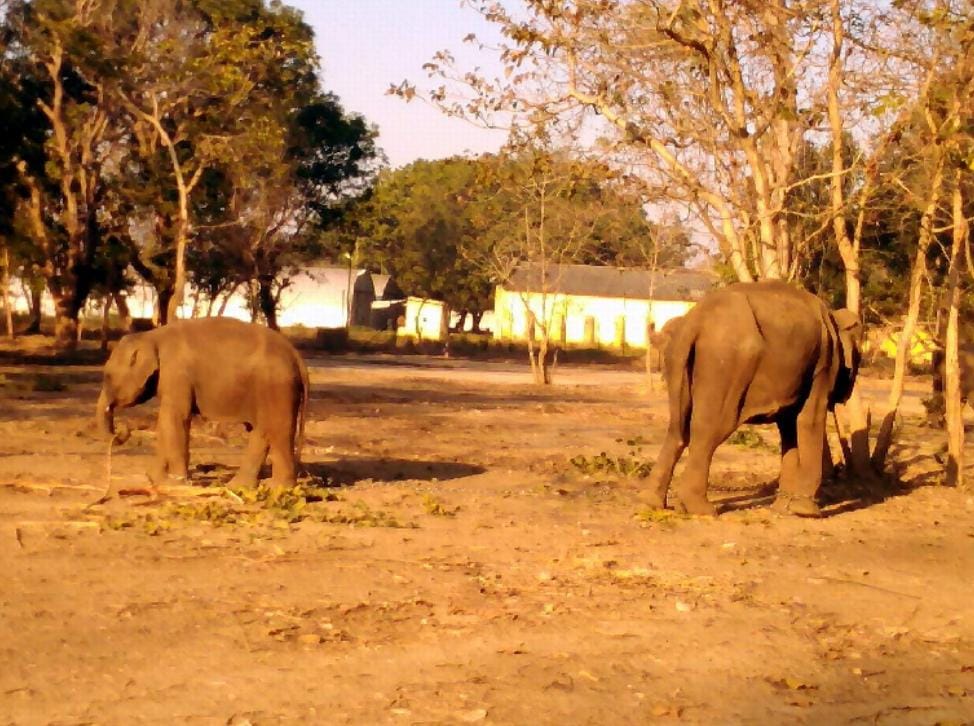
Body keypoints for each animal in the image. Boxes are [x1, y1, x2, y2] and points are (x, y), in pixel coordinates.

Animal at [96, 317, 310, 490]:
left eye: (107, 376)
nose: (124, 429)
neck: (150, 337)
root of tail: (296, 355)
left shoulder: (177, 374)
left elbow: (176, 418)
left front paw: (177, 482)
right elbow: (166, 422)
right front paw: (155, 479)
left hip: (277, 387)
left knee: (278, 430)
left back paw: (278, 488)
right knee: (262, 432)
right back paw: (238, 487)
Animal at [645, 281, 862, 518]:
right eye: (859, 359)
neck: (832, 317)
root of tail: (694, 321)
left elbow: (788, 429)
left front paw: (783, 509)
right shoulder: (823, 363)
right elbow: (809, 419)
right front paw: (807, 511)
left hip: (678, 360)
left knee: (678, 428)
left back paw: (654, 502)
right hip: (725, 364)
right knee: (709, 429)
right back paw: (700, 509)